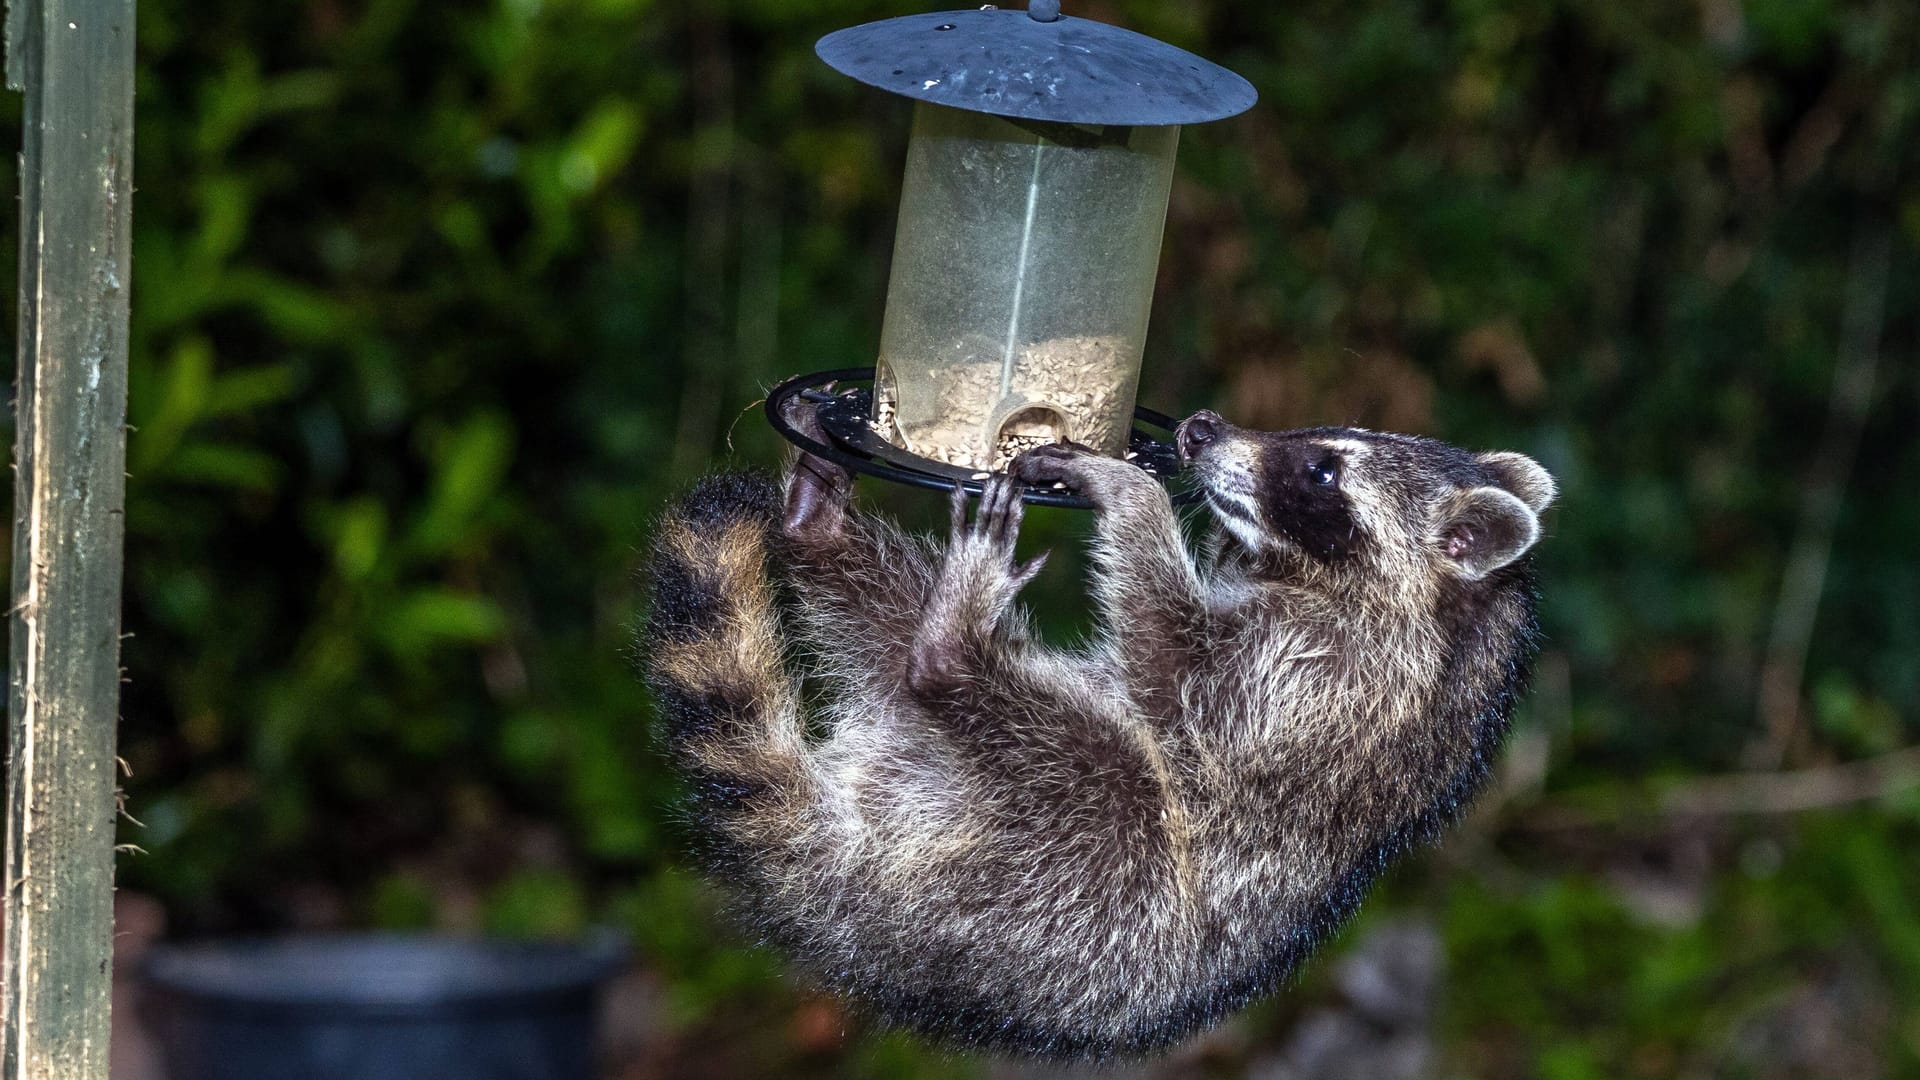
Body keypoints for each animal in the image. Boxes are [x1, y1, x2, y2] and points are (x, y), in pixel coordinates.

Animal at [648, 399, 1559, 1053]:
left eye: (1323, 471)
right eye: (1322, 439)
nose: (1202, 429)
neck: (1461, 619)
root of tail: (856, 899)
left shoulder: (1328, 687)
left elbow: (1179, 677)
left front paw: (1136, 495)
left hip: (1081, 873)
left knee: (1070, 754)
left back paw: (950, 651)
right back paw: (818, 527)